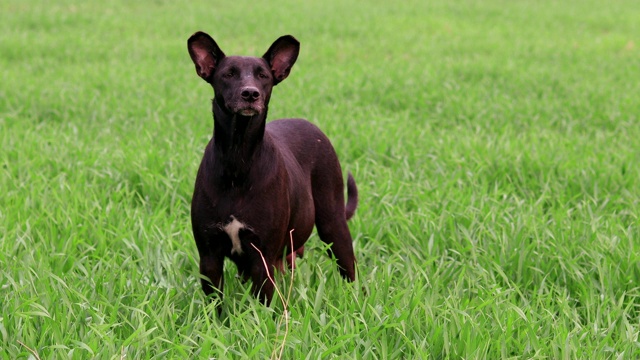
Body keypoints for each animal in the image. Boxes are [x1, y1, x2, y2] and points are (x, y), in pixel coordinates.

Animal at [188, 31, 358, 306]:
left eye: (263, 76)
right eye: (228, 74)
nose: (250, 94)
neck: (238, 156)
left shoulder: (262, 257)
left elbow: (263, 306)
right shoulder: (209, 256)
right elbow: (216, 307)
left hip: (333, 224)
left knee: (350, 272)